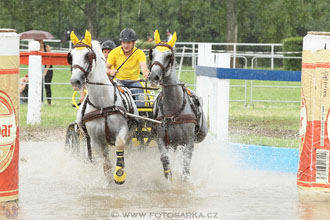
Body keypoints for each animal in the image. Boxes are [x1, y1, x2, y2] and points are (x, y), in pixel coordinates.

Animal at [68, 29, 138, 184]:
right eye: (71, 56)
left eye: (87, 56)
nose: (75, 81)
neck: (102, 105)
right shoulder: (95, 140)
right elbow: (105, 161)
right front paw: (110, 179)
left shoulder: (122, 129)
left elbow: (119, 144)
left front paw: (120, 174)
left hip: (131, 134)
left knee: (128, 148)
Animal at [148, 30, 208, 180]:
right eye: (152, 53)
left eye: (168, 55)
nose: (153, 76)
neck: (173, 110)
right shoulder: (161, 139)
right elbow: (165, 160)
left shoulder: (189, 142)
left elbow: (185, 167)